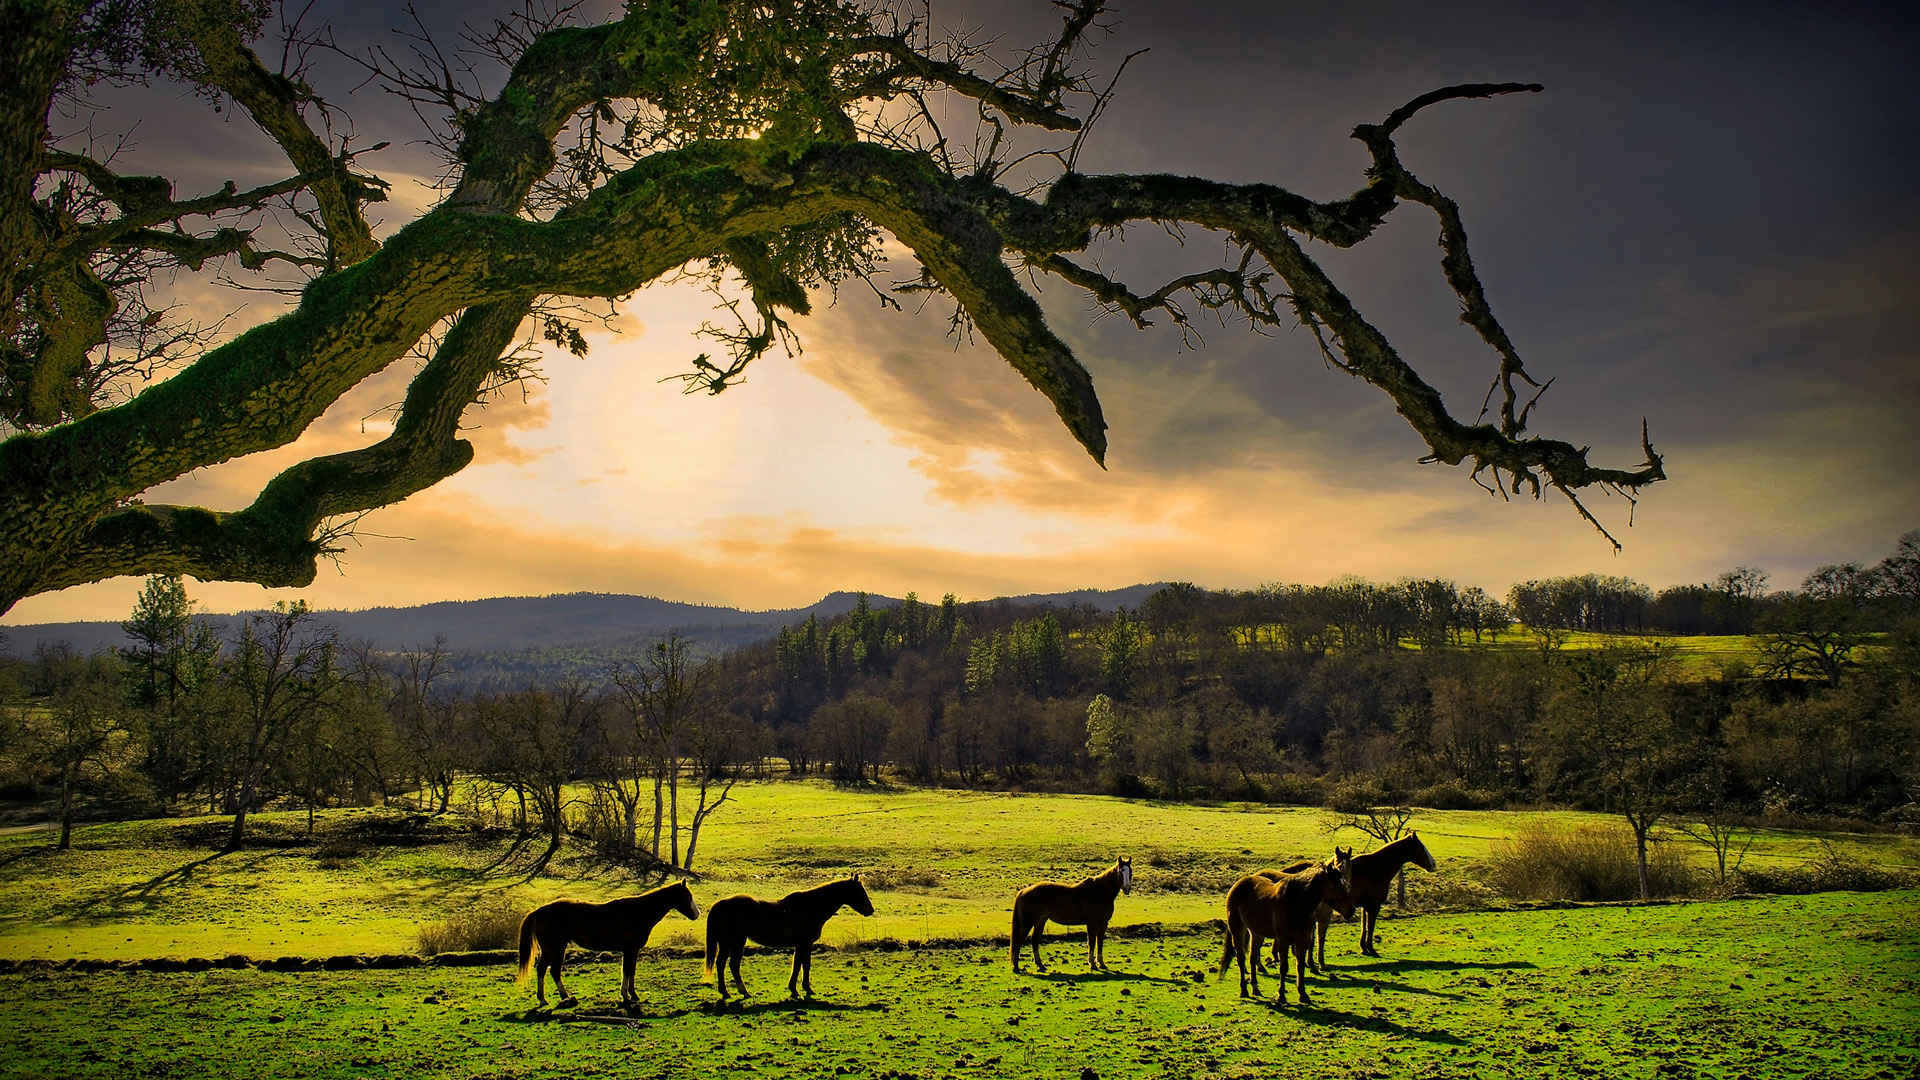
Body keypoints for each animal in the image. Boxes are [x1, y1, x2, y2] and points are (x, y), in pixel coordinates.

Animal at [514, 880, 702, 1006]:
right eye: (687, 896)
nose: (697, 914)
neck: (639, 912)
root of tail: (539, 911)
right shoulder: (631, 949)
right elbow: (628, 971)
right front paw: (628, 996)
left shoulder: (631, 950)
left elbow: (630, 971)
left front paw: (631, 995)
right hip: (554, 948)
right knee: (547, 970)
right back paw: (549, 999)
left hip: (556, 948)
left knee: (550, 971)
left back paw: (558, 997)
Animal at [702, 868, 875, 999]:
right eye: (860, 891)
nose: (870, 910)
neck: (811, 907)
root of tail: (720, 905)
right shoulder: (804, 944)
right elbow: (802, 965)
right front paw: (802, 989)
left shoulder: (802, 945)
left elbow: (800, 964)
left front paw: (797, 988)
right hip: (735, 942)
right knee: (732, 964)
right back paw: (741, 991)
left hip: (727, 944)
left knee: (721, 964)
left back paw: (726, 992)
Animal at [1221, 857, 1344, 999]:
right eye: (1336, 884)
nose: (1351, 909)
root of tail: (1238, 884)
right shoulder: (1285, 938)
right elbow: (1285, 966)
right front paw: (1281, 995)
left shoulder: (1303, 936)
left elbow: (1301, 962)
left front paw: (1303, 991)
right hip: (1237, 930)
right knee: (1241, 958)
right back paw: (1244, 990)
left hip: (1256, 933)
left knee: (1252, 957)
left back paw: (1256, 986)